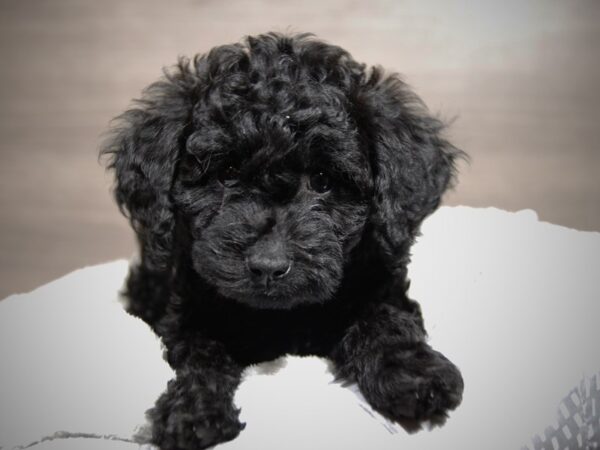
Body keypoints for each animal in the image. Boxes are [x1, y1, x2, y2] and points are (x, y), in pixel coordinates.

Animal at [103, 32, 466, 450]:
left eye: (323, 180)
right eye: (227, 173)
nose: (268, 266)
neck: (282, 317)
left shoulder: (379, 279)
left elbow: (385, 318)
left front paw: (414, 376)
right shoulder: (187, 311)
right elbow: (196, 351)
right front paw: (191, 410)